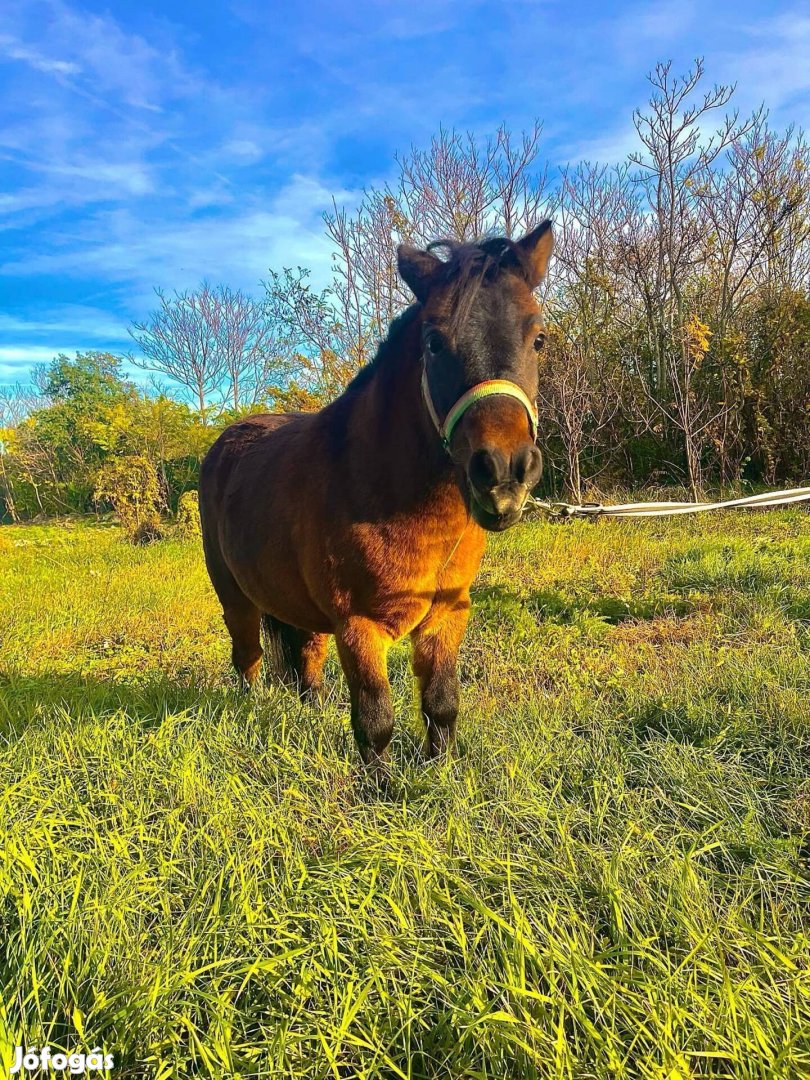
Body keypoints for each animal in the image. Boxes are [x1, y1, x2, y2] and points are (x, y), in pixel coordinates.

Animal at [199, 219, 557, 764]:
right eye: (434, 342)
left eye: (538, 338)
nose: (503, 473)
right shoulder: (359, 627)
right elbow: (375, 723)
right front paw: (382, 783)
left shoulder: (448, 614)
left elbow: (442, 705)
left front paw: (439, 770)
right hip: (235, 596)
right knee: (249, 659)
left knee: (306, 661)